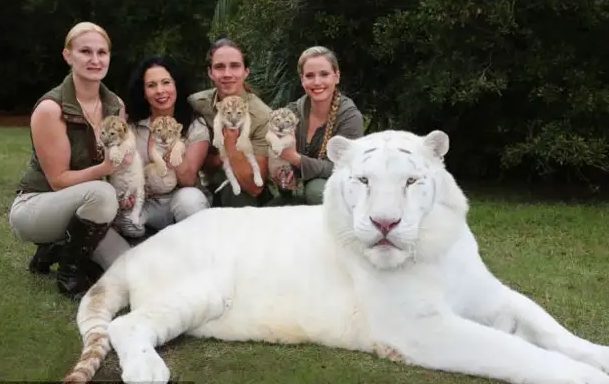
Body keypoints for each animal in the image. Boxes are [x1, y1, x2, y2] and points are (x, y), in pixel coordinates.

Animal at [63, 130, 608, 384]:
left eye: (411, 181)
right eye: (364, 180)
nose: (386, 223)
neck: (431, 251)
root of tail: (138, 251)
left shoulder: (491, 297)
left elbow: (550, 330)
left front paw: (598, 355)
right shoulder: (420, 327)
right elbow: (517, 352)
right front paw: (587, 376)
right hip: (196, 289)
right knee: (125, 324)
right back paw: (147, 370)